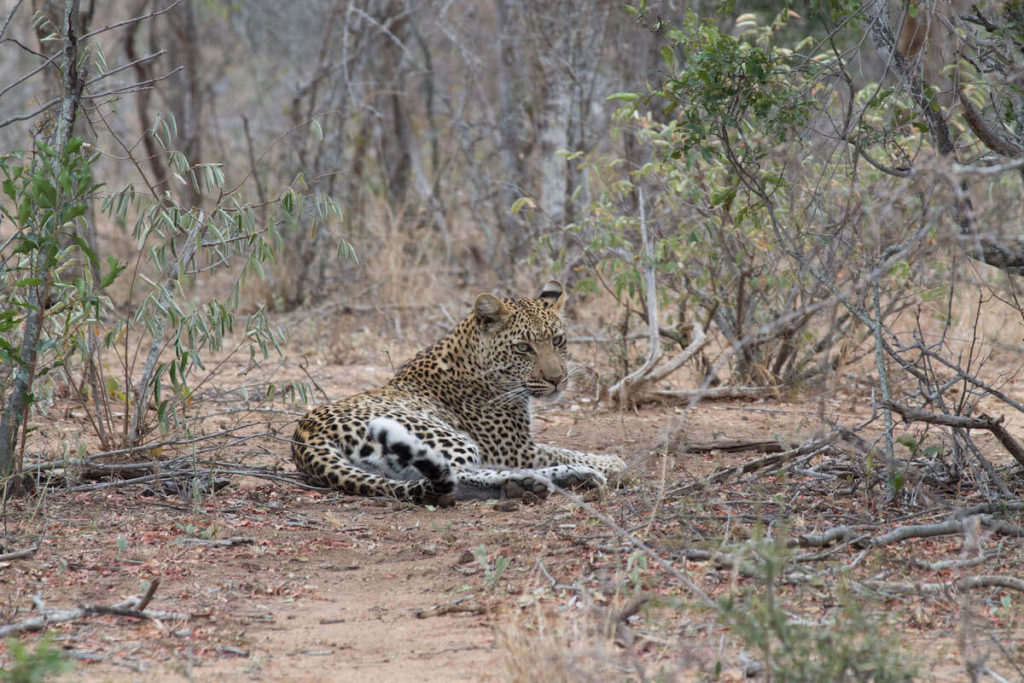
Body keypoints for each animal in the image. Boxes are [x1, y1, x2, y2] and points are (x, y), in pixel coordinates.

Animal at [288, 280, 622, 505]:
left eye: (557, 340)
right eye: (523, 347)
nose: (557, 380)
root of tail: (305, 439)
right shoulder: (515, 449)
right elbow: (562, 449)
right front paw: (611, 461)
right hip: (444, 436)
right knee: (458, 473)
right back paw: (546, 479)